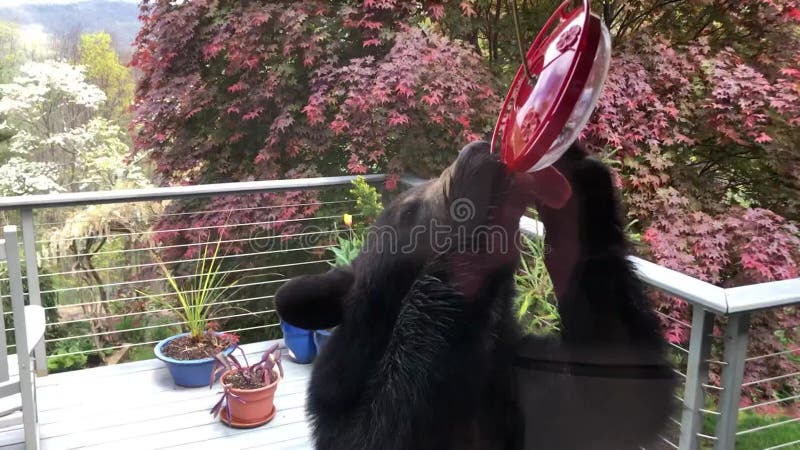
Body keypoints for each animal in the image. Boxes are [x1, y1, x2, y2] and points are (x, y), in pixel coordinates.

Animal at [276, 140, 676, 446]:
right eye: (409, 211)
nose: (478, 149)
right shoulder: (341, 398)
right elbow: (385, 426)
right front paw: (474, 228)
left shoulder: (510, 376)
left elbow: (613, 396)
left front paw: (574, 180)